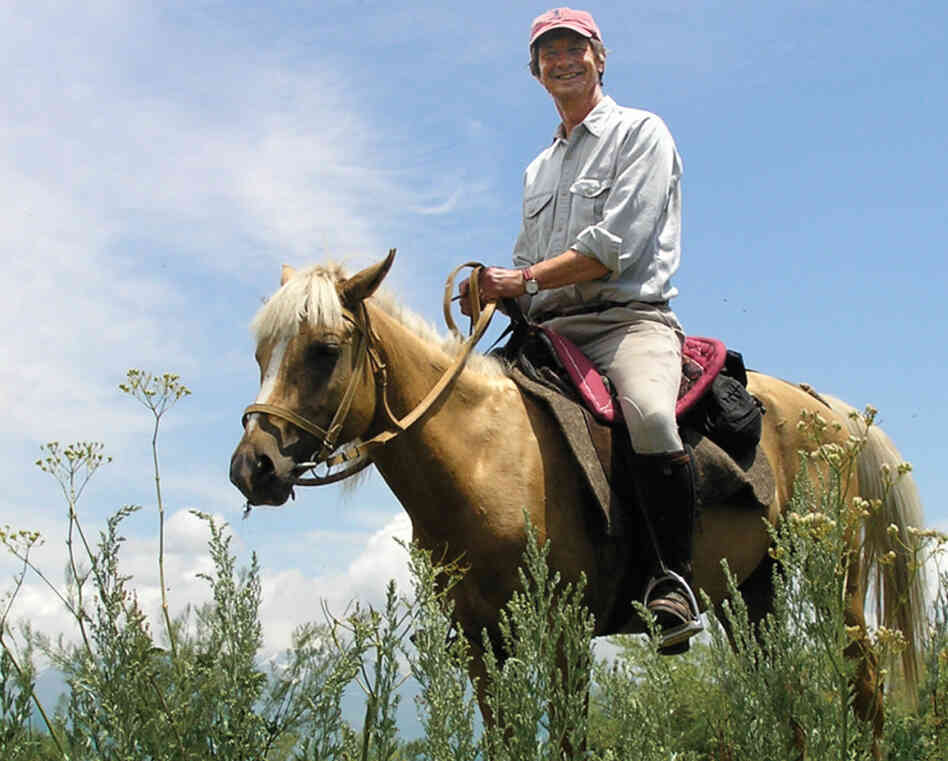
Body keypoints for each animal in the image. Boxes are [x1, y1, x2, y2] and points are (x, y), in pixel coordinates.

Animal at [229, 251, 927, 755]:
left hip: (836, 587)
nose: (252, 467)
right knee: (784, 698)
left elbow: (569, 741)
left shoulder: (566, 631)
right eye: (260, 353)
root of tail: (832, 411)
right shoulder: (482, 647)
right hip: (753, 594)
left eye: (324, 351)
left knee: (865, 693)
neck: (483, 457)